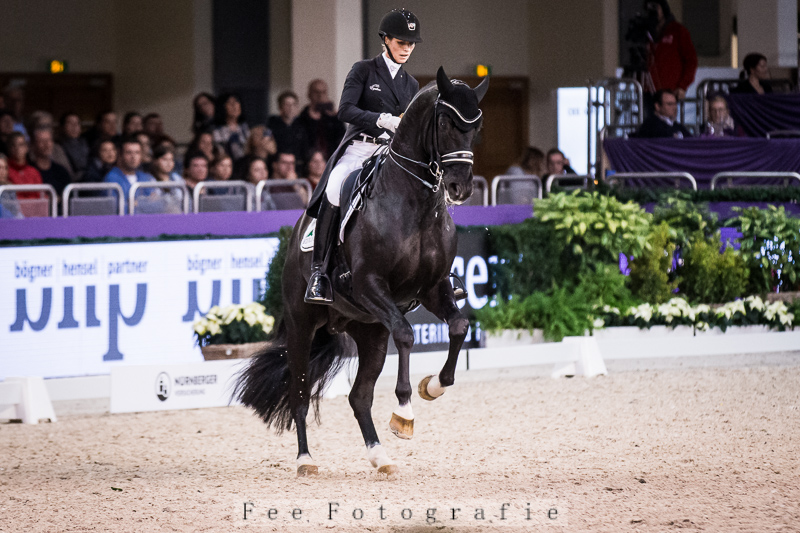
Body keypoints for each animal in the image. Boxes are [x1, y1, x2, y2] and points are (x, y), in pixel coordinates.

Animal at [234, 67, 488, 476]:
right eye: (445, 122)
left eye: (476, 126)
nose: (460, 188)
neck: (414, 204)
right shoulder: (369, 285)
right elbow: (406, 334)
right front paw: (404, 413)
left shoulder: (433, 288)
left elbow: (459, 326)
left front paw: (433, 386)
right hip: (304, 324)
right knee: (299, 393)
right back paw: (306, 460)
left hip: (368, 330)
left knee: (359, 397)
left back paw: (379, 456)